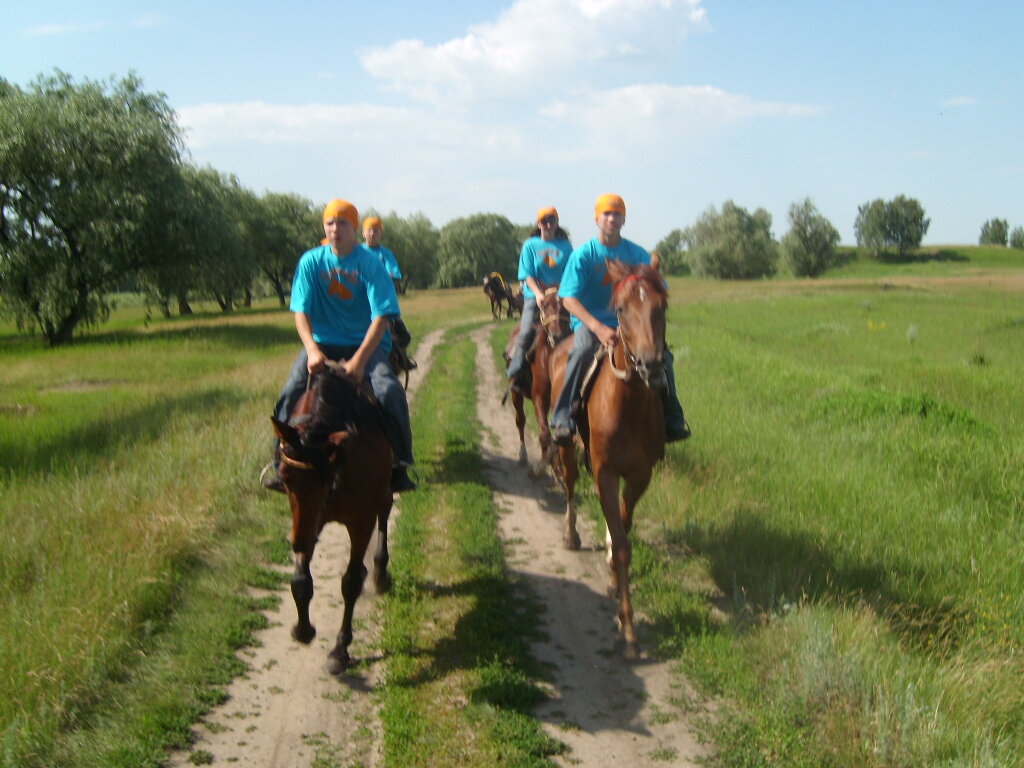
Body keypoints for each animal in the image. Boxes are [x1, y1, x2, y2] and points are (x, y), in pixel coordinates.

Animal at [270, 364, 393, 675]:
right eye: (285, 478)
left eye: (325, 480)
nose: (296, 542)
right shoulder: (309, 519)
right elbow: (301, 580)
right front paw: (303, 630)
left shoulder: (360, 520)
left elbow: (350, 584)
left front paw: (340, 649)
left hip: (382, 494)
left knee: (385, 512)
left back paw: (380, 572)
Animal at [501, 288, 573, 475]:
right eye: (545, 305)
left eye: (565, 306)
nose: (557, 336)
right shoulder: (539, 397)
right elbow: (544, 434)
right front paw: (547, 465)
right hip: (515, 393)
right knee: (520, 420)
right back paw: (523, 456)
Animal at [548, 262, 667, 659]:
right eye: (620, 310)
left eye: (662, 305)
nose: (651, 365)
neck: (628, 403)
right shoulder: (606, 472)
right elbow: (624, 545)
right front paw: (627, 629)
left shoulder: (640, 474)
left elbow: (623, 530)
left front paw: (615, 580)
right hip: (567, 449)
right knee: (570, 487)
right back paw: (571, 534)